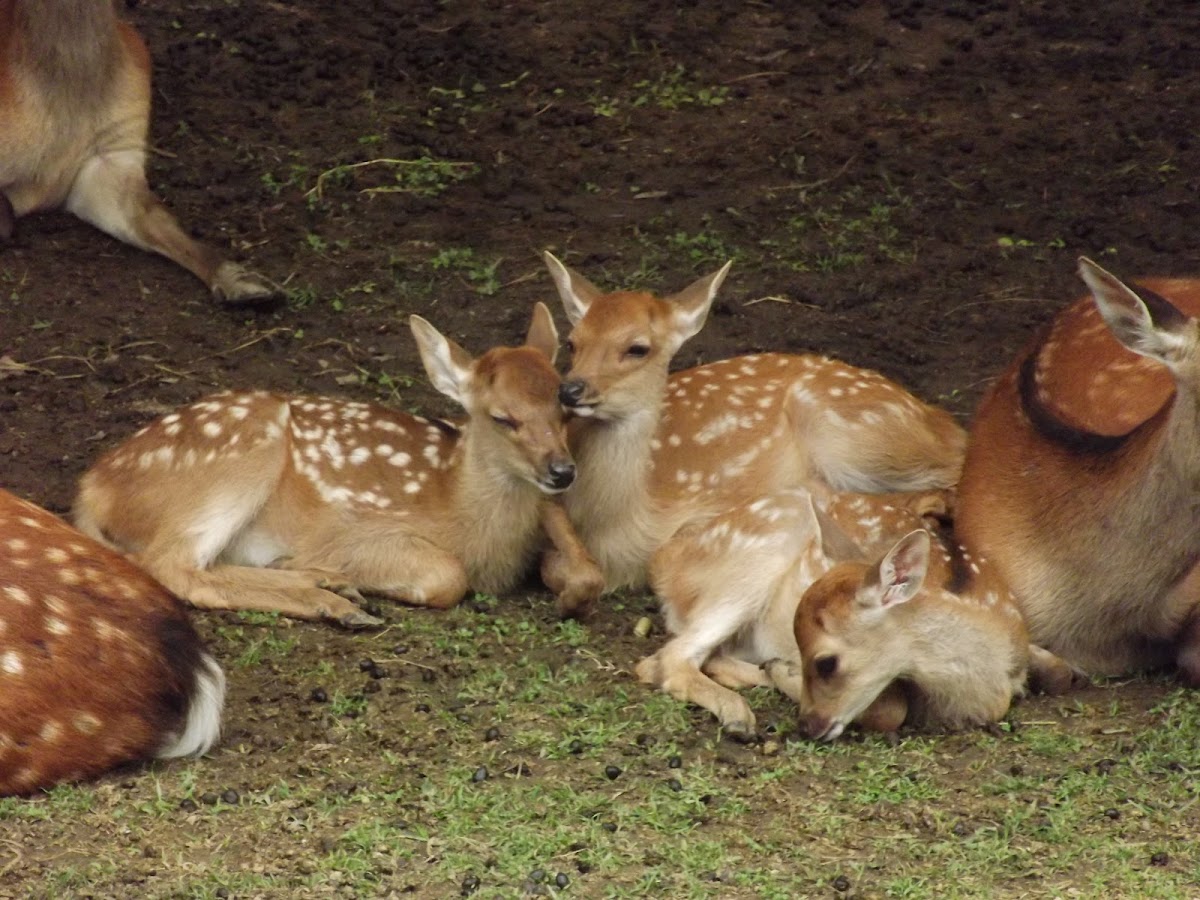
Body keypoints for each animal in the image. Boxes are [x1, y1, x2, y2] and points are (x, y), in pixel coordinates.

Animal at [74, 304, 604, 626]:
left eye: (564, 406)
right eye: (503, 418)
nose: (562, 472)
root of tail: (91, 486)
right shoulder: (358, 526)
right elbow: (446, 576)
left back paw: (330, 586)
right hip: (239, 454)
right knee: (172, 566)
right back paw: (329, 597)